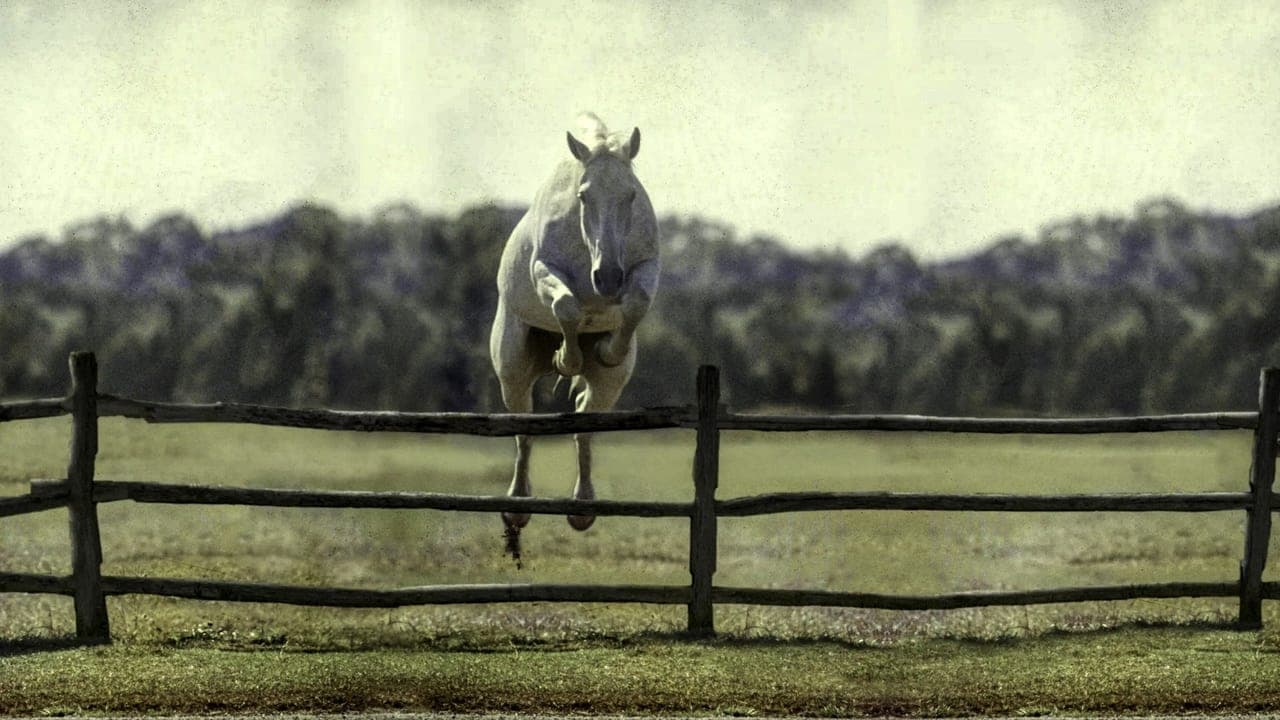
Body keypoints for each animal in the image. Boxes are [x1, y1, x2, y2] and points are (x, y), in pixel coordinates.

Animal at [488, 112, 660, 563]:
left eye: (630, 195)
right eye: (584, 196)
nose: (609, 277)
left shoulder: (646, 270)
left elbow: (636, 303)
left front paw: (605, 349)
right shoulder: (545, 271)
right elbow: (566, 305)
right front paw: (567, 359)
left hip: (608, 389)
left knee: (585, 424)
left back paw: (582, 509)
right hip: (513, 372)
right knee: (524, 430)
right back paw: (517, 509)